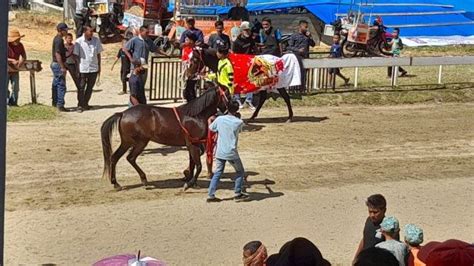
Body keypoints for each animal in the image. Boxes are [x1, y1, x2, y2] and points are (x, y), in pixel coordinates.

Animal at [101, 85, 229, 191]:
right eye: (227, 94)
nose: (232, 108)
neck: (195, 116)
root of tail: (122, 113)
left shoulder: (195, 144)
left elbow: (193, 163)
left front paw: (189, 178)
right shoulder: (192, 144)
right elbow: (198, 165)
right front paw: (189, 183)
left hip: (133, 142)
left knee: (121, 158)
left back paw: (127, 182)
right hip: (135, 142)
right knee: (125, 158)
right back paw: (129, 182)